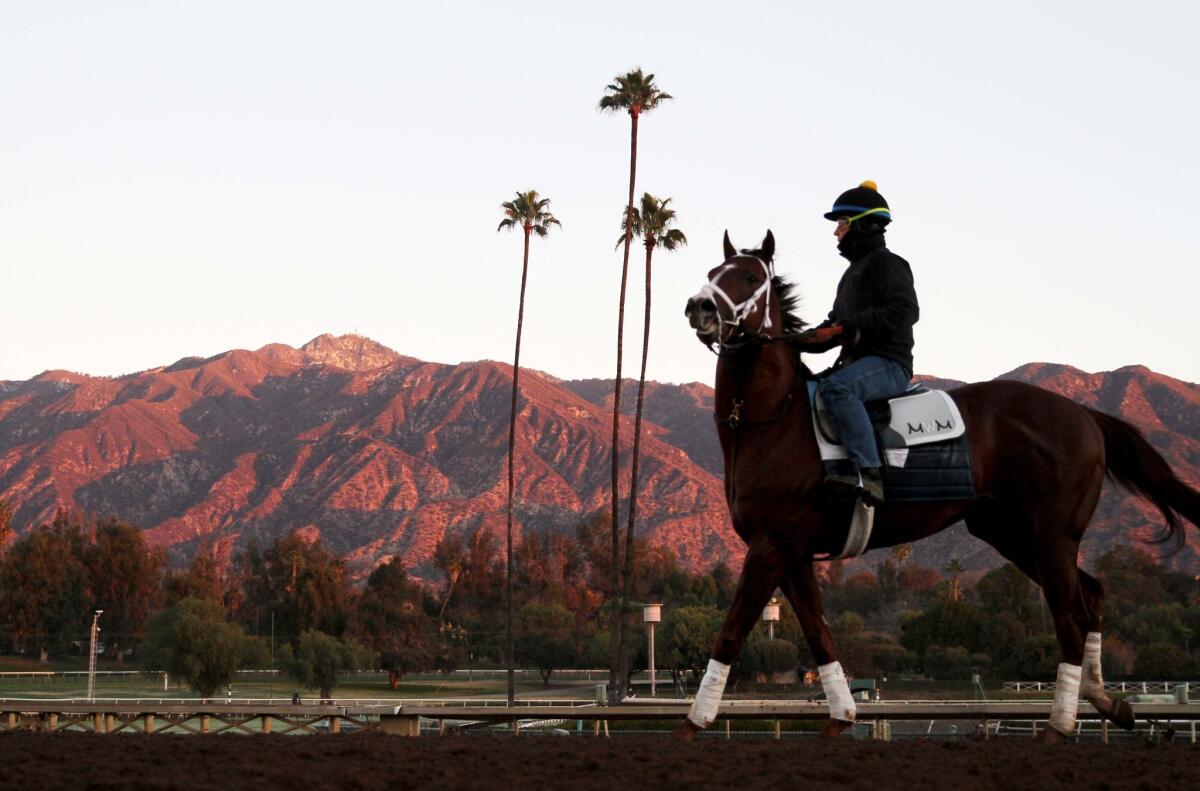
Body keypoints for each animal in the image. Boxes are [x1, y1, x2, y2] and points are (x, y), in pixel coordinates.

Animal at [681, 229, 1200, 744]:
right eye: (713, 272)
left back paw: (1059, 725)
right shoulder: (792, 552)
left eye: (750, 277)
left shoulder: (771, 546)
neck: (775, 420)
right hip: (1011, 534)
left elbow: (731, 631)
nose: (699, 307)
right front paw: (841, 716)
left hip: (1051, 537)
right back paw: (1105, 700)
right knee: (1091, 595)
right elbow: (819, 632)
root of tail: (1084, 414)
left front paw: (693, 722)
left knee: (1070, 617)